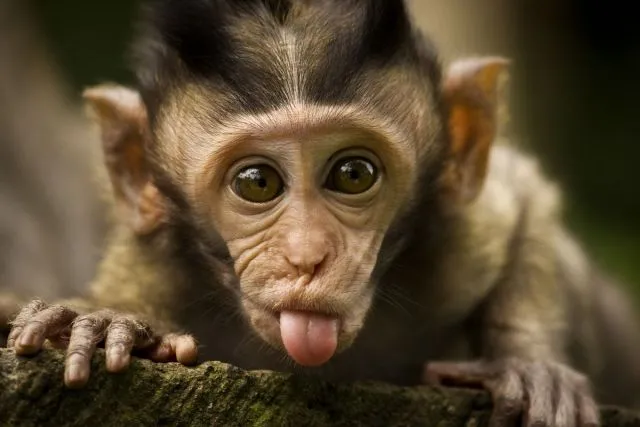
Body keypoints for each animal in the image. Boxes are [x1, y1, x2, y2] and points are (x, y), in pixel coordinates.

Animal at [6, 1, 640, 425]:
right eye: (257, 183)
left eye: (353, 174)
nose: (307, 257)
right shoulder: (154, 264)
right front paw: (110, 321)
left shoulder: (459, 243)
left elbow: (525, 198)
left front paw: (528, 364)